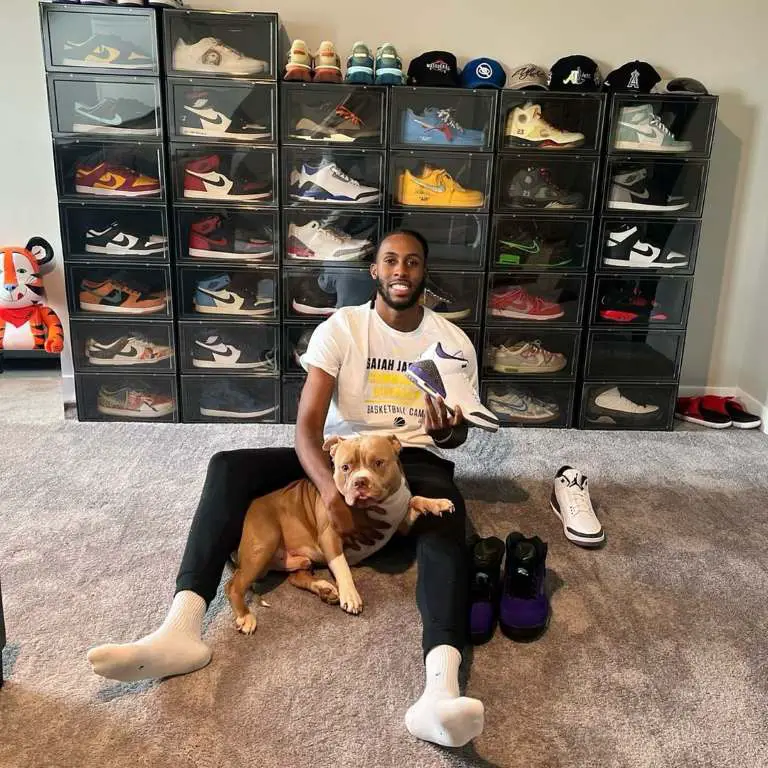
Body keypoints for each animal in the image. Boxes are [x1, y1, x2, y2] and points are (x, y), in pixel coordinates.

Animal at [225, 436, 452, 632]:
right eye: (345, 467)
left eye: (378, 462)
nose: (360, 482)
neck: (380, 507)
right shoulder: (329, 537)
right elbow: (342, 566)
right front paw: (350, 595)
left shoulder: (401, 524)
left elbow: (415, 500)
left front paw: (437, 503)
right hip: (263, 544)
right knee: (233, 585)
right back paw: (245, 616)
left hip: (299, 560)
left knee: (296, 577)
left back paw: (323, 589)